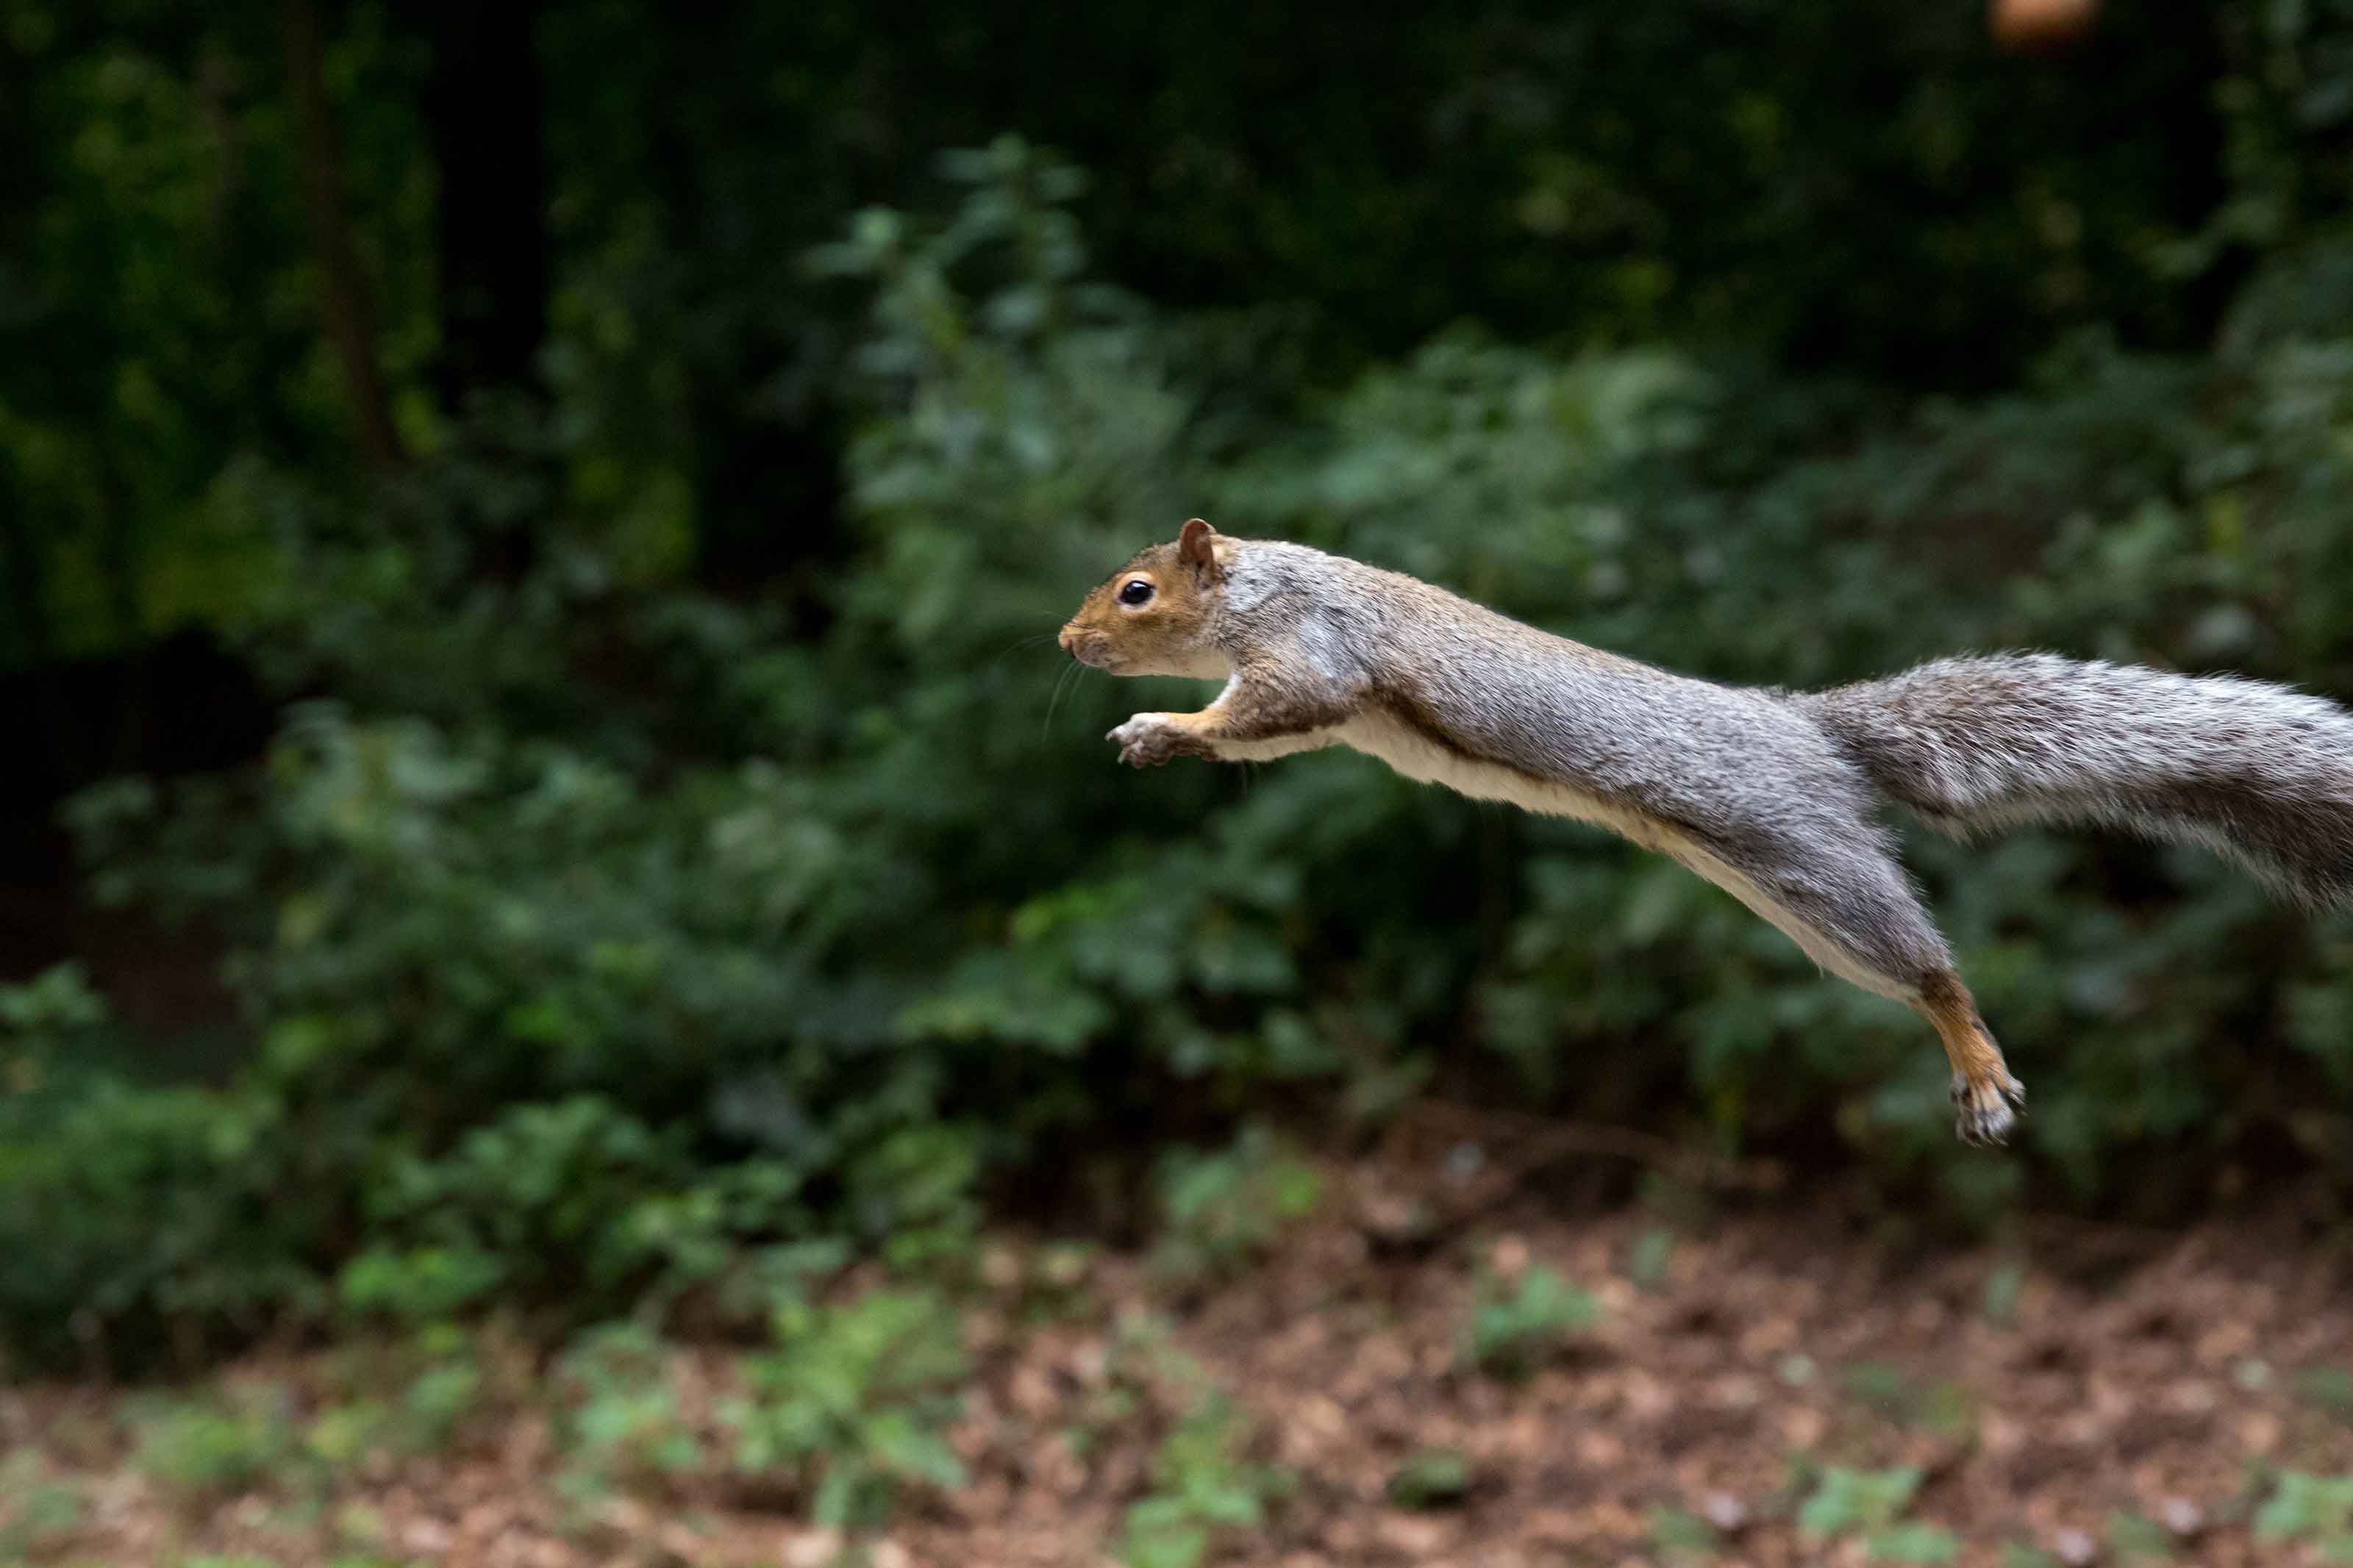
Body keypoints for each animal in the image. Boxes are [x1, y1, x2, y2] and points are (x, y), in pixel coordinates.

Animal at [1073, 521, 2353, 1147]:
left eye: (1137, 592)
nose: (1065, 641)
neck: (1260, 587)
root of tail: (1805, 731)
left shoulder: (1313, 650)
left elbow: (1272, 704)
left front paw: (1164, 724)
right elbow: (1268, 737)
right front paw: (1168, 734)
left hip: (1803, 859)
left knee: (1930, 967)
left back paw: (1979, 1070)